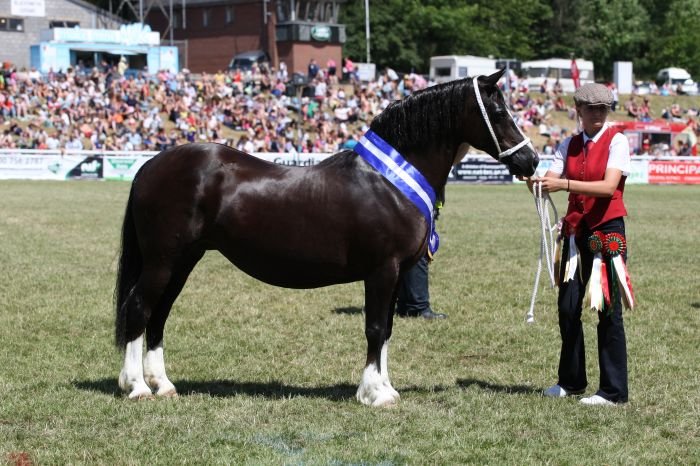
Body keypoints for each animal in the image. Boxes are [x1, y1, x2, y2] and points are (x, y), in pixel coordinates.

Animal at [114, 69, 539, 406]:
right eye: (498, 112)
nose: (531, 160)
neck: (388, 181)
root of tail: (150, 165)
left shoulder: (397, 273)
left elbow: (387, 330)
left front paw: (385, 387)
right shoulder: (382, 271)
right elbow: (374, 328)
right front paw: (374, 393)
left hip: (183, 260)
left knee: (159, 313)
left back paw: (163, 384)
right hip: (163, 260)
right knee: (138, 307)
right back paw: (137, 387)